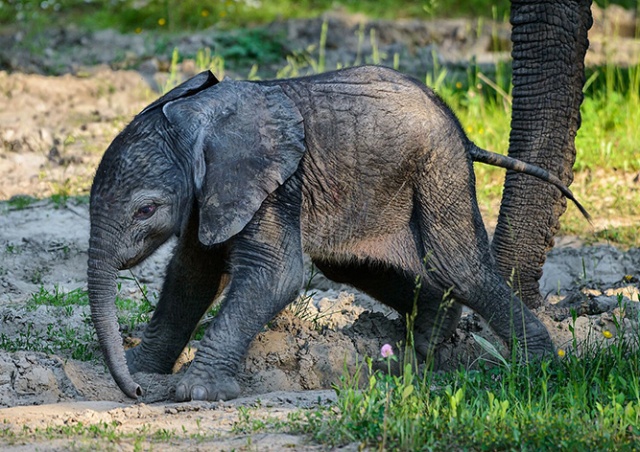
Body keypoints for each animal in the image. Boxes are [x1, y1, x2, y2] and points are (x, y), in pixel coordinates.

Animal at [87, 66, 588, 400]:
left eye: (146, 210)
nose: (133, 394)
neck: (199, 115)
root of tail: (461, 130)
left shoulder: (274, 183)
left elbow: (274, 274)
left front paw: (192, 392)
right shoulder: (212, 194)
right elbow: (191, 275)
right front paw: (140, 371)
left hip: (439, 164)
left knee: (457, 266)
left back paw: (538, 368)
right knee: (352, 264)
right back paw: (426, 347)